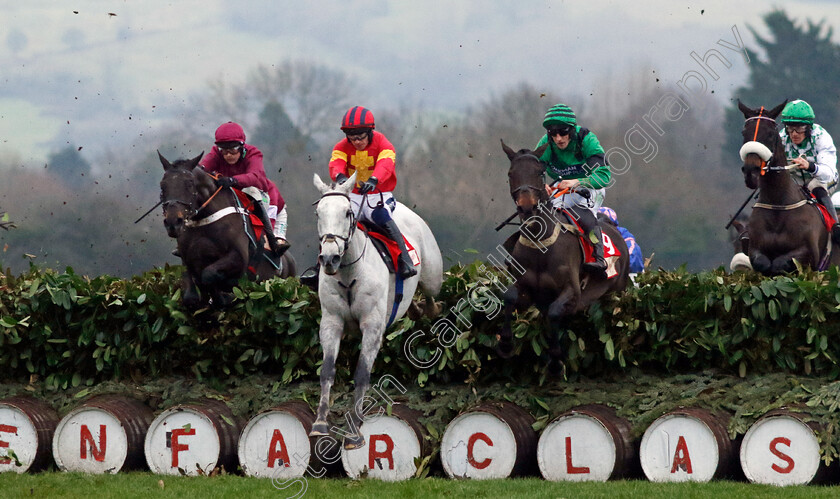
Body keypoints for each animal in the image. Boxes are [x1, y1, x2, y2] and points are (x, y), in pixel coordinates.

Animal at [158, 152, 296, 308]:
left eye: (189, 183)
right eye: (162, 186)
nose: (173, 222)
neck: (205, 220)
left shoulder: (239, 257)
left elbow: (209, 275)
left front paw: (224, 296)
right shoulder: (187, 261)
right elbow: (191, 295)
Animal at [306, 174, 440, 452]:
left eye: (347, 212)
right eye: (318, 213)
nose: (329, 259)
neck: (349, 272)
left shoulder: (372, 326)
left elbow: (362, 374)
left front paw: (354, 431)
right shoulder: (331, 322)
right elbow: (327, 370)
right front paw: (320, 423)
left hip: (433, 275)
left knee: (431, 292)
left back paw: (429, 306)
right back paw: (415, 308)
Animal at [498, 141, 632, 376]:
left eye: (540, 173)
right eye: (510, 173)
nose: (527, 207)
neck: (541, 244)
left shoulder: (573, 293)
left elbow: (553, 313)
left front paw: (555, 360)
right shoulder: (527, 290)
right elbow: (510, 296)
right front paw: (505, 344)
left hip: (618, 288)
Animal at [736, 100, 840, 276]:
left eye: (770, 134)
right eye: (744, 132)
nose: (751, 171)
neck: (778, 206)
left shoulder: (808, 254)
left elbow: (782, 263)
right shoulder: (754, 249)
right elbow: (762, 262)